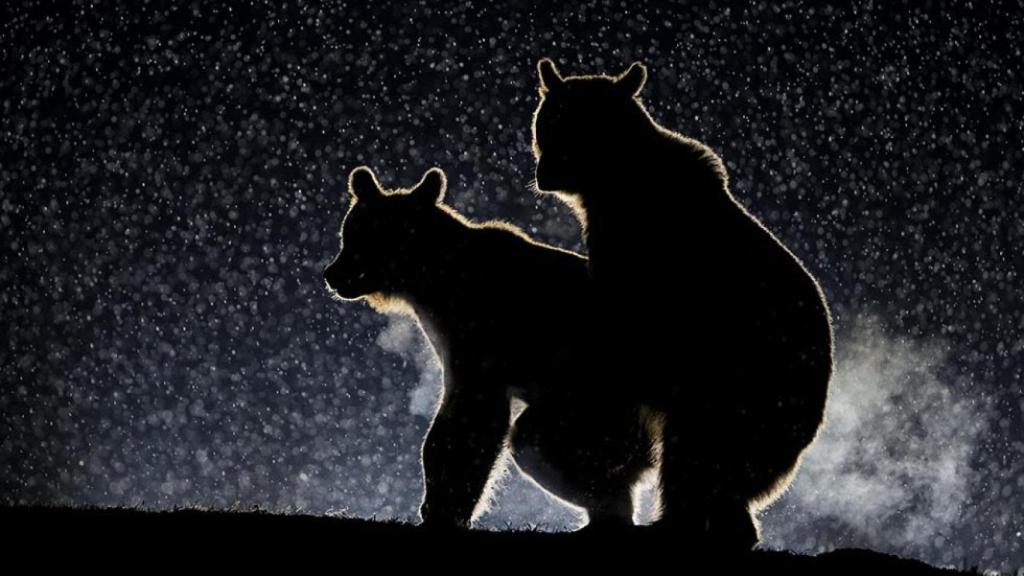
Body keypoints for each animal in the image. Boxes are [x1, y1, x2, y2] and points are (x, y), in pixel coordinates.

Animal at [323, 166, 654, 529]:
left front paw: (446, 507)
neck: (431, 281)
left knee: (536, 442)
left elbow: (470, 425)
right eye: (348, 232)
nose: (332, 273)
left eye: (364, 237)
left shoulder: (480, 347)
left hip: (596, 397)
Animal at [530, 58, 834, 549]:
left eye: (573, 127)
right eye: (547, 123)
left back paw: (673, 524)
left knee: (692, 457)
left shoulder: (644, 255)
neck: (611, 181)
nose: (545, 171)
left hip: (735, 387)